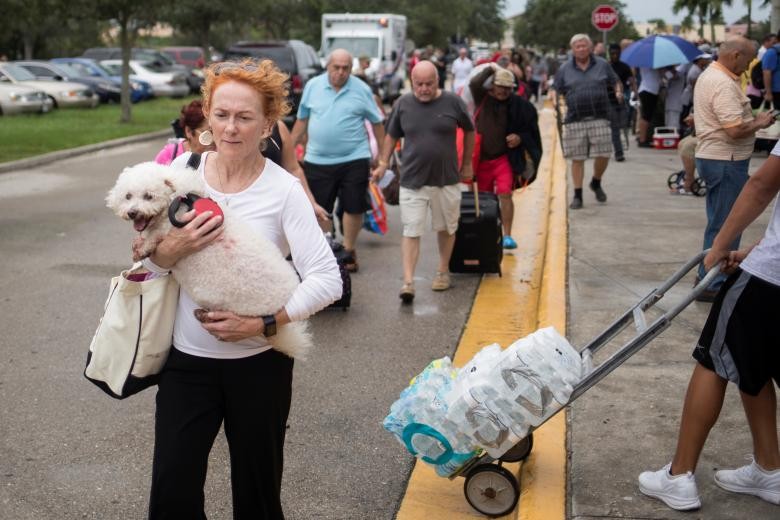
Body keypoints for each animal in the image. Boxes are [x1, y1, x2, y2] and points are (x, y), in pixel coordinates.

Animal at [106, 162, 310, 362]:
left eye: (149, 196)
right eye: (128, 196)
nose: (132, 213)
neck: (176, 202)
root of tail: (280, 306)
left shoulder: (171, 229)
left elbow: (155, 236)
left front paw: (143, 247)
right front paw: (138, 245)